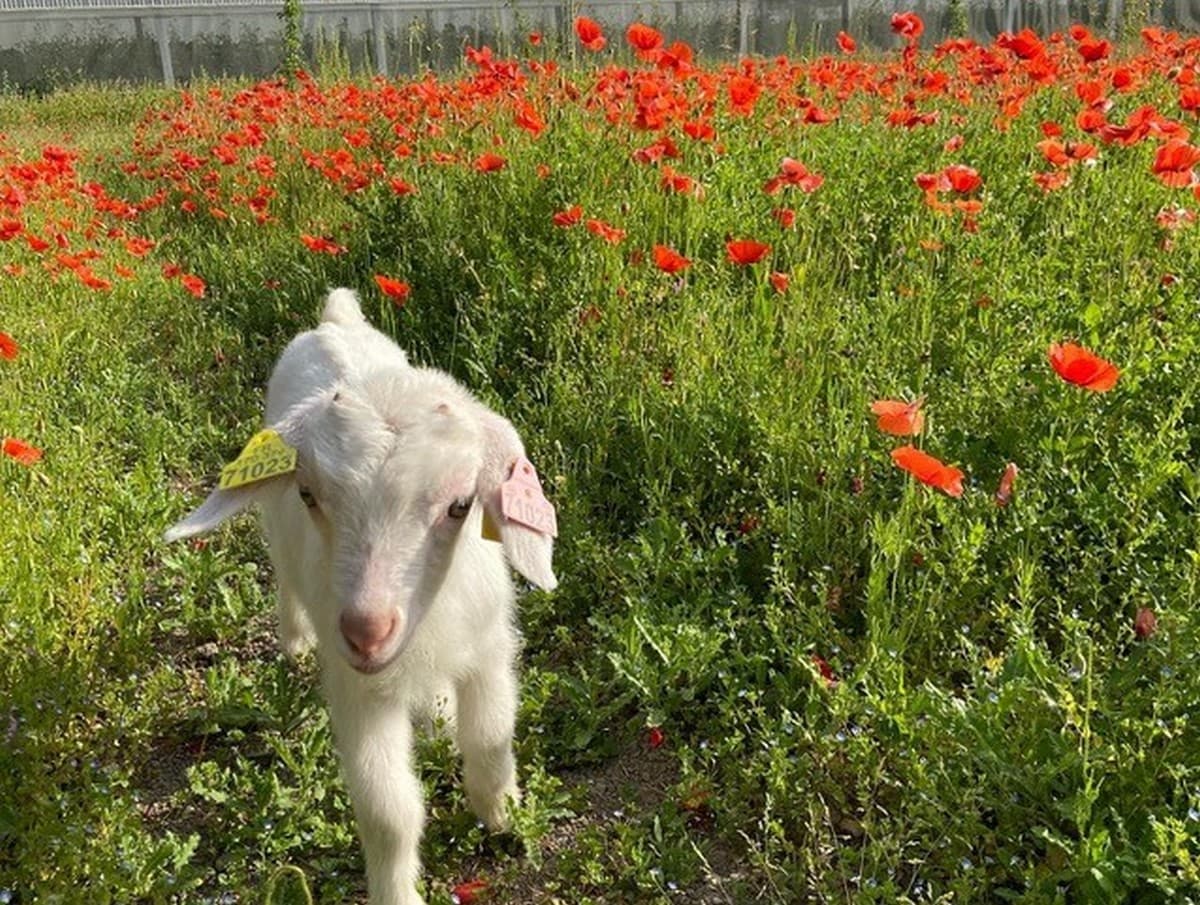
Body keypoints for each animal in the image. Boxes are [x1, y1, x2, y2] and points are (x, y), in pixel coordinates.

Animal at [165, 287, 558, 905]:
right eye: (308, 494)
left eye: (460, 505)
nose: (367, 631)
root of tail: (336, 322)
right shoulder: (357, 688)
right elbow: (389, 812)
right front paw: (398, 892)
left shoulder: (488, 649)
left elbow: (490, 738)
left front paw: (503, 817)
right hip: (276, 529)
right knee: (283, 575)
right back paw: (294, 641)